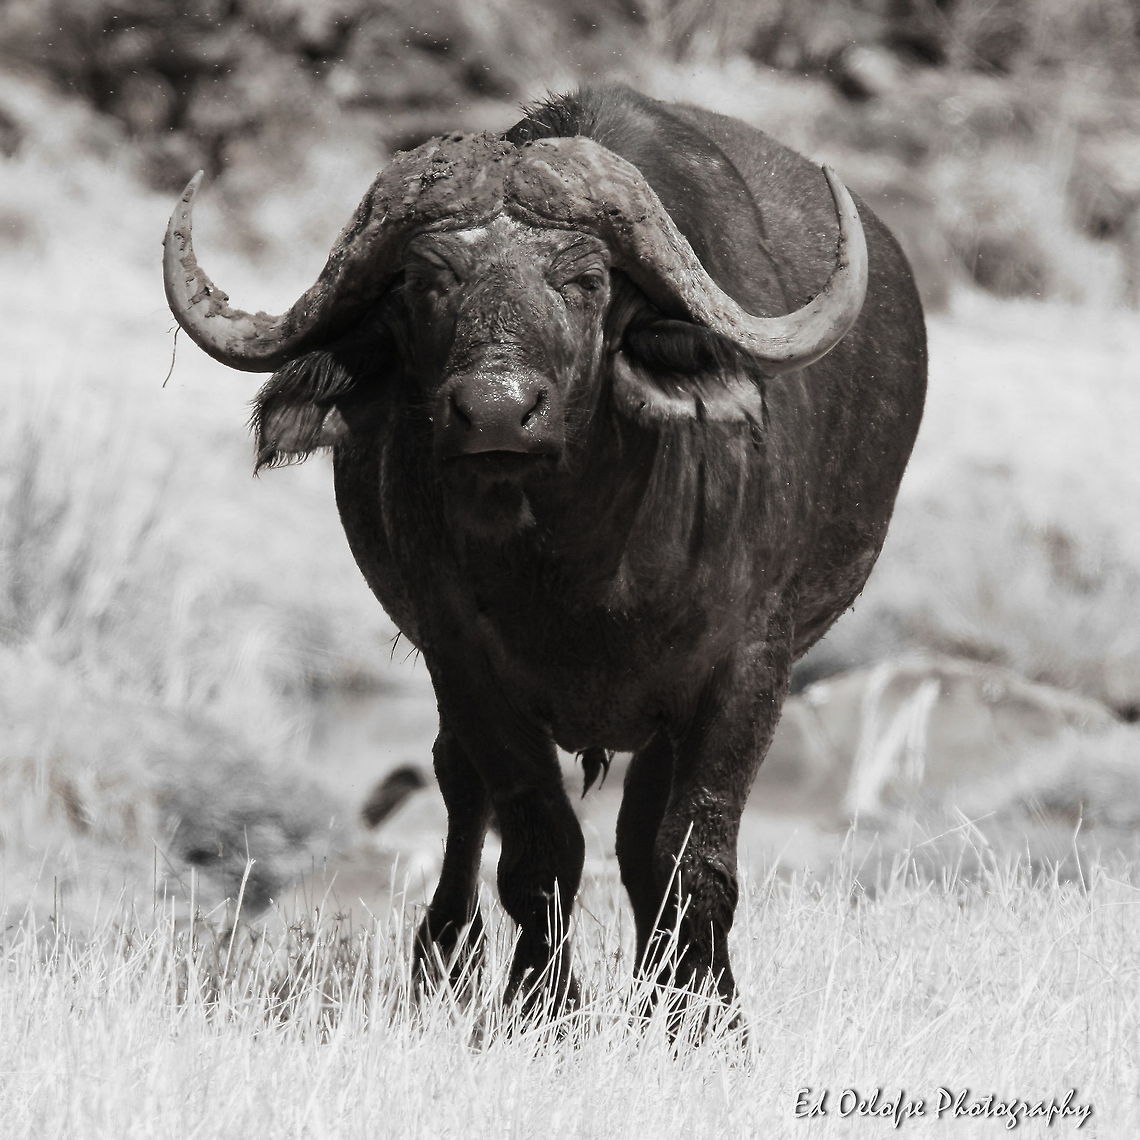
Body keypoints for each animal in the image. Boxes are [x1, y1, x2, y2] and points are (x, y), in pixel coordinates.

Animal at [164, 85, 926, 1018]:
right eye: (428, 280)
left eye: (586, 280)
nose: (496, 410)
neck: (579, 562)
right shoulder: (465, 661)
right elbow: (539, 848)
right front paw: (543, 1005)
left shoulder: (750, 665)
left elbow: (693, 853)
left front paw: (706, 1016)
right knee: (461, 788)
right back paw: (447, 957)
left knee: (638, 837)